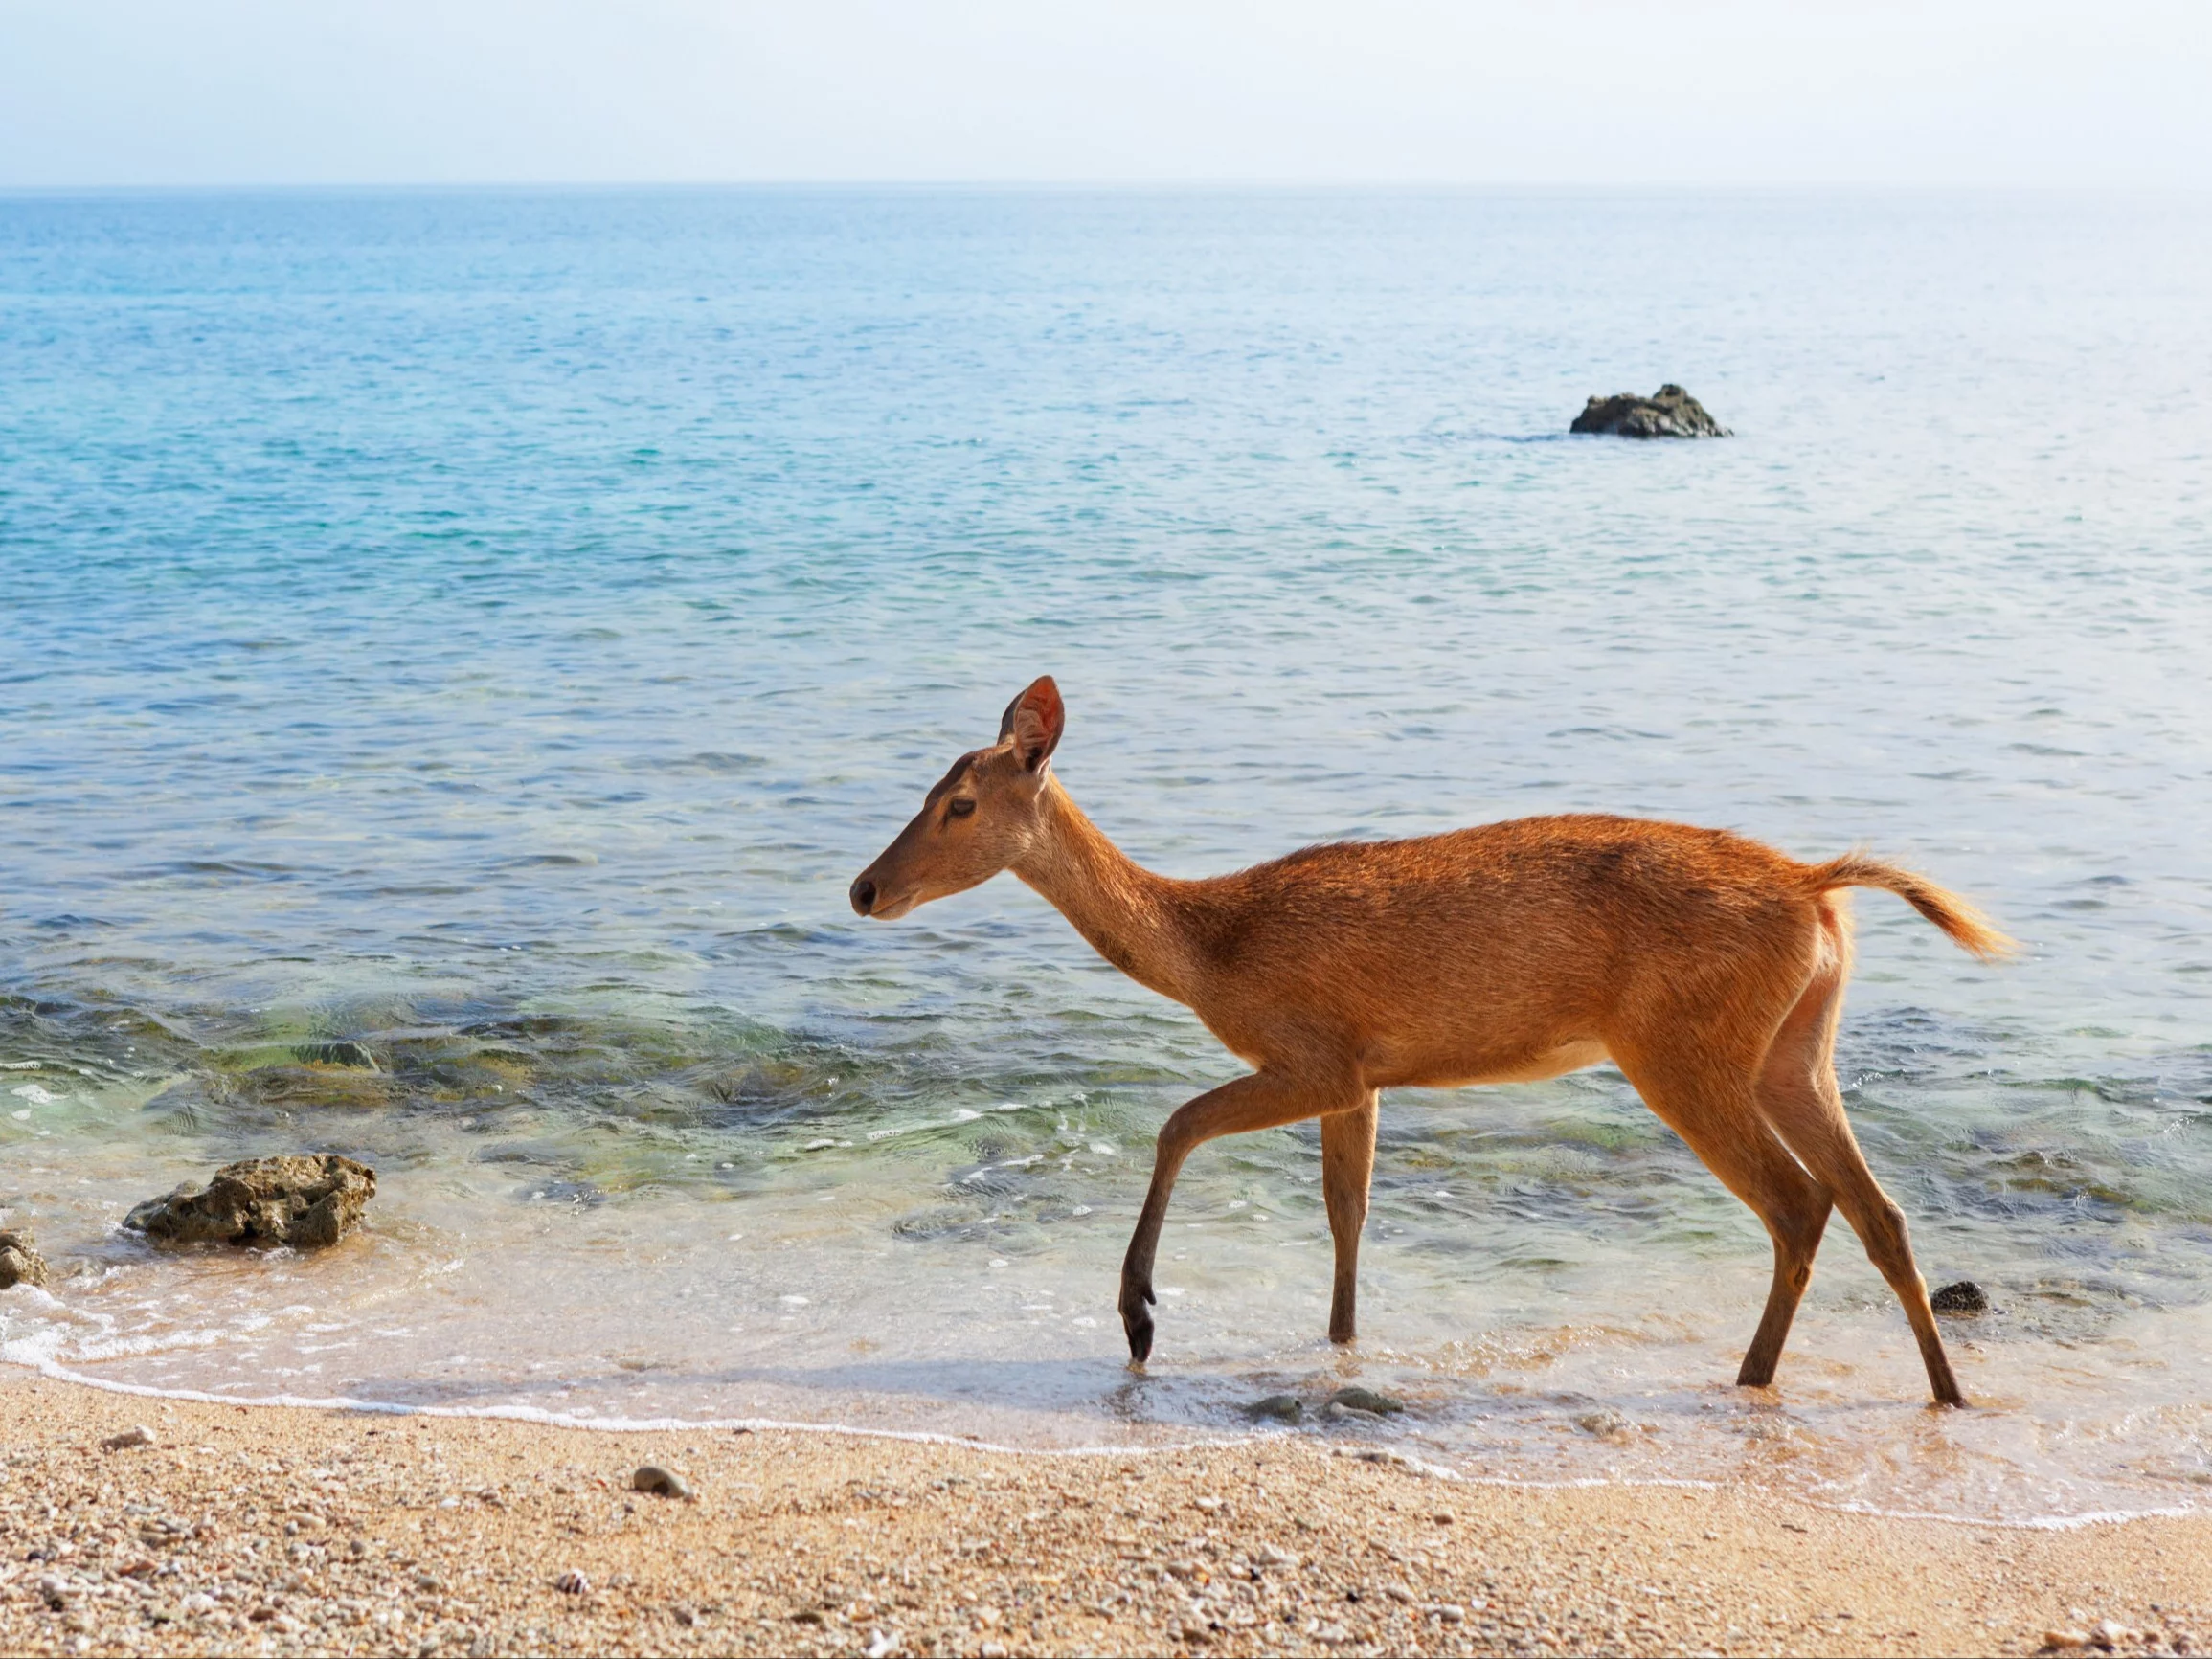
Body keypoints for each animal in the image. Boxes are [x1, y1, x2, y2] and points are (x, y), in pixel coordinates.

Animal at [853, 677, 2017, 1406]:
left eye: (961, 802)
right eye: (925, 787)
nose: (864, 887)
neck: (1211, 947)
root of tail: (1818, 888)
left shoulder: (1316, 1051)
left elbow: (1179, 1122)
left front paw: (1139, 1314)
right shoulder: (1364, 1076)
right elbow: (1348, 1211)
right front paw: (1337, 1344)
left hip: (1683, 1048)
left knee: (1797, 1202)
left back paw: (1753, 1376)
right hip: (1794, 1047)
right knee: (1878, 1208)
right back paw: (1946, 1391)